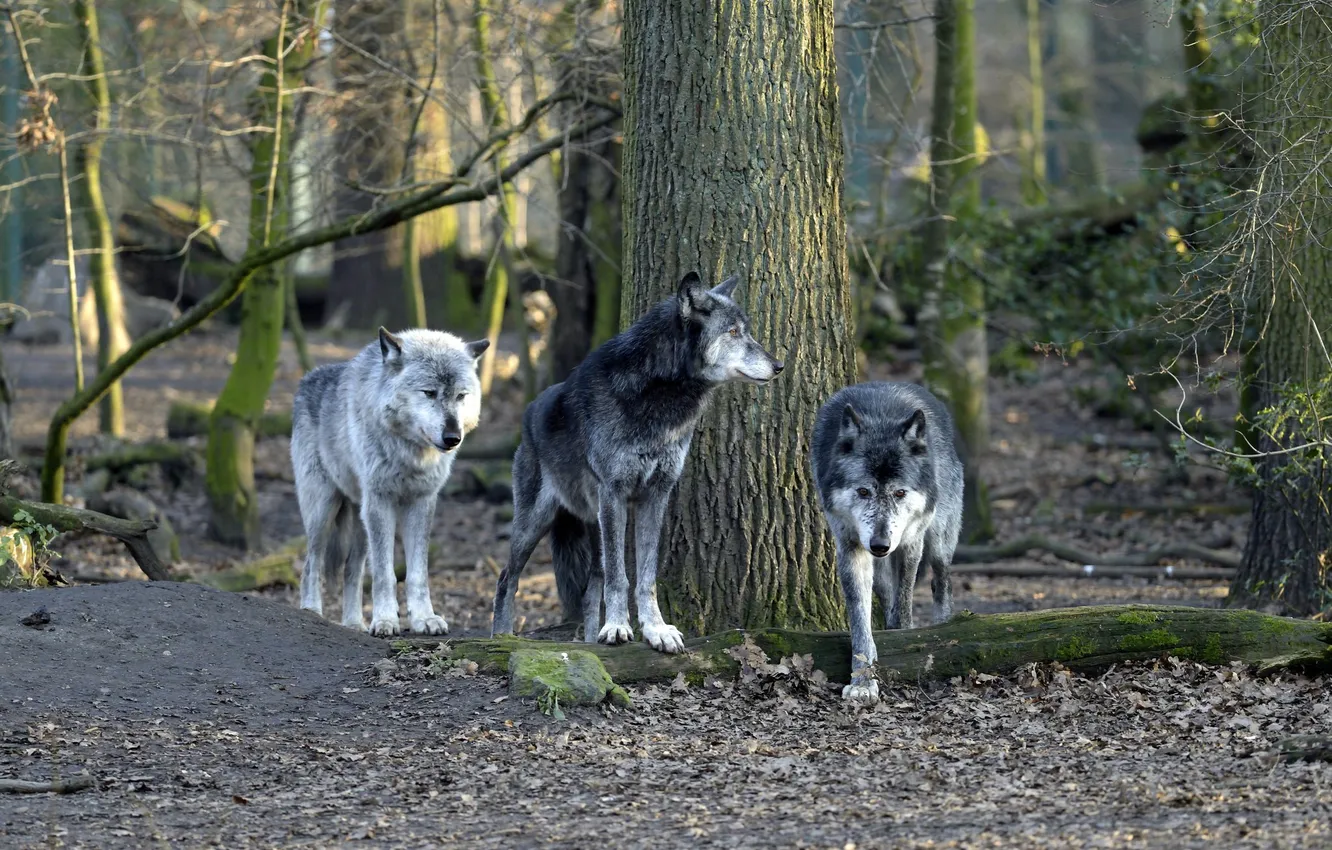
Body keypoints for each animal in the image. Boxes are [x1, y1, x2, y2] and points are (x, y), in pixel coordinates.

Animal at [291, 327, 489, 637]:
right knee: (312, 562)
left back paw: (354, 623)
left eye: (460, 396)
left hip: (360, 520)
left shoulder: (421, 503)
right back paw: (311, 610)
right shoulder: (380, 502)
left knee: (352, 570)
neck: (411, 454)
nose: (452, 437)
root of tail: (306, 378)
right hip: (324, 510)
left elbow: (417, 574)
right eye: (429, 393)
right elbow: (385, 574)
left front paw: (424, 618)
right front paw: (385, 620)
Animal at [490, 271, 784, 653]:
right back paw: (502, 637)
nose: (779, 366)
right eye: (733, 332)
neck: (659, 395)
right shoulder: (614, 492)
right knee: (506, 578)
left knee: (590, 590)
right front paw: (617, 627)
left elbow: (645, 576)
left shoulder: (656, 495)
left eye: (746, 330)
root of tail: (528, 411)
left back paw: (589, 640)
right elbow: (620, 577)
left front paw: (656, 629)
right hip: (536, 523)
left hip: (593, 523)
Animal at [811, 382, 965, 703]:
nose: (880, 545)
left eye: (899, 493)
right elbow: (860, 619)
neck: (879, 417)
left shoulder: (910, 543)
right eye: (863, 491)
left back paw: (943, 625)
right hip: (880, 567)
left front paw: (907, 644)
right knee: (886, 592)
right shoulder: (852, 548)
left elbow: (905, 601)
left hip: (939, 539)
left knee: (940, 582)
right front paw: (862, 681)